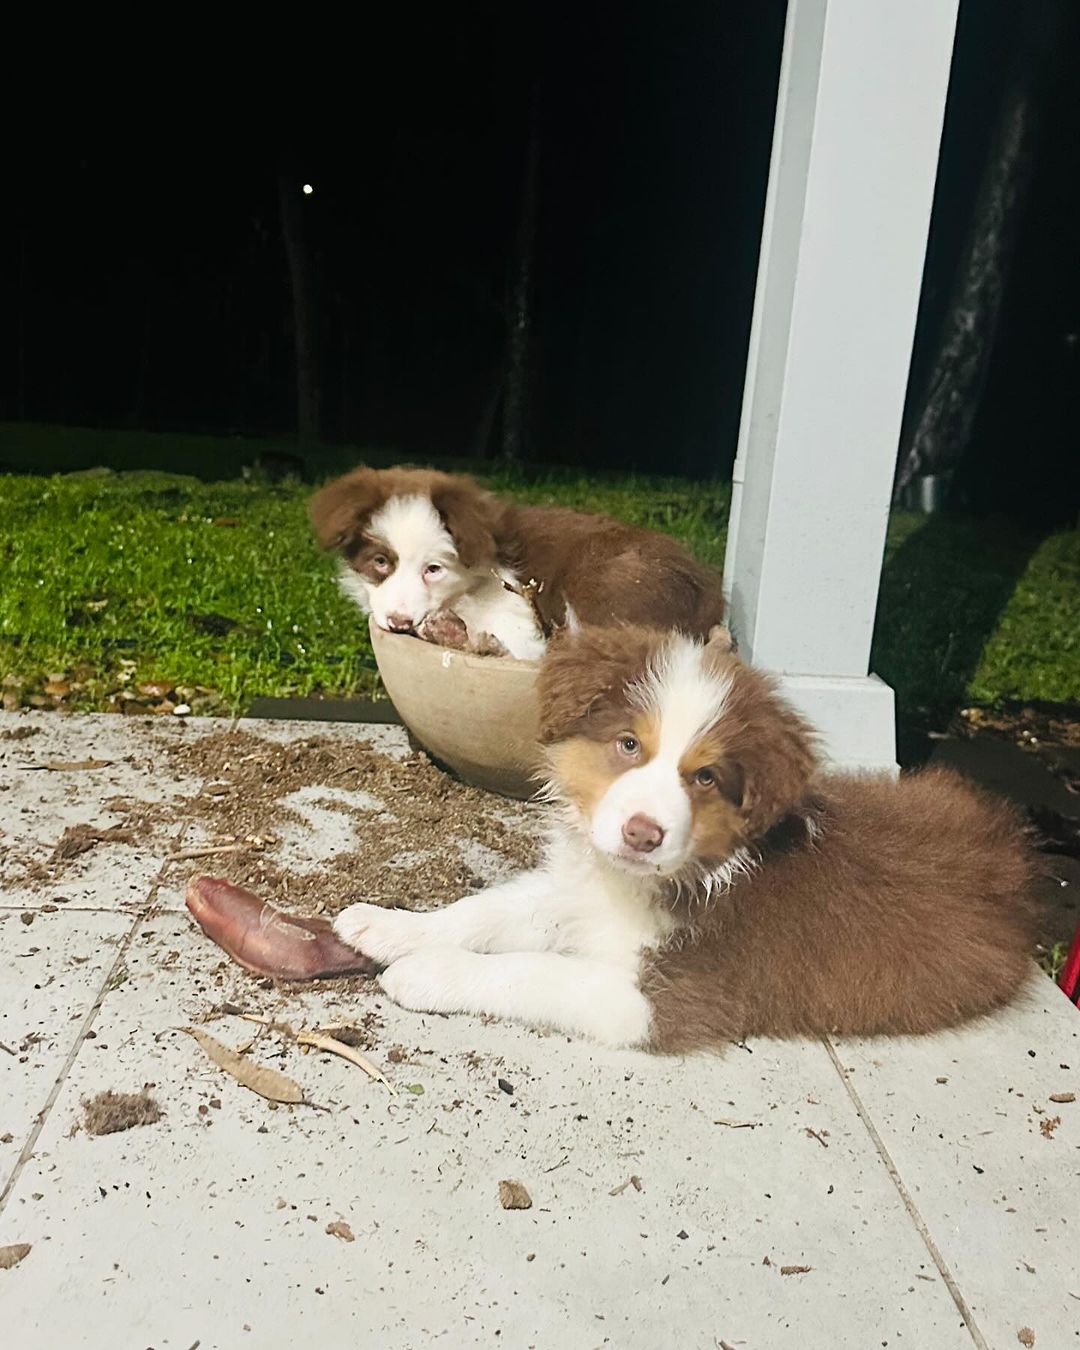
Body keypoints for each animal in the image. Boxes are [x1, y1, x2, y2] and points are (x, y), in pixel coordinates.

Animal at [307, 467, 723, 661]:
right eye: (380, 561)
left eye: (433, 569)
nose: (399, 622)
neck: (468, 589)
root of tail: (710, 594)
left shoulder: (518, 615)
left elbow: (523, 646)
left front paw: (460, 634)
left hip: (604, 584)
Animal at [333, 623, 1042, 1053]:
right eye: (628, 745)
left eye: (704, 777)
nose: (642, 833)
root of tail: (1009, 850)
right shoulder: (574, 892)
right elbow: (486, 909)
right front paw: (389, 926)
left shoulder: (668, 995)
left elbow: (535, 971)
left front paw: (428, 972)